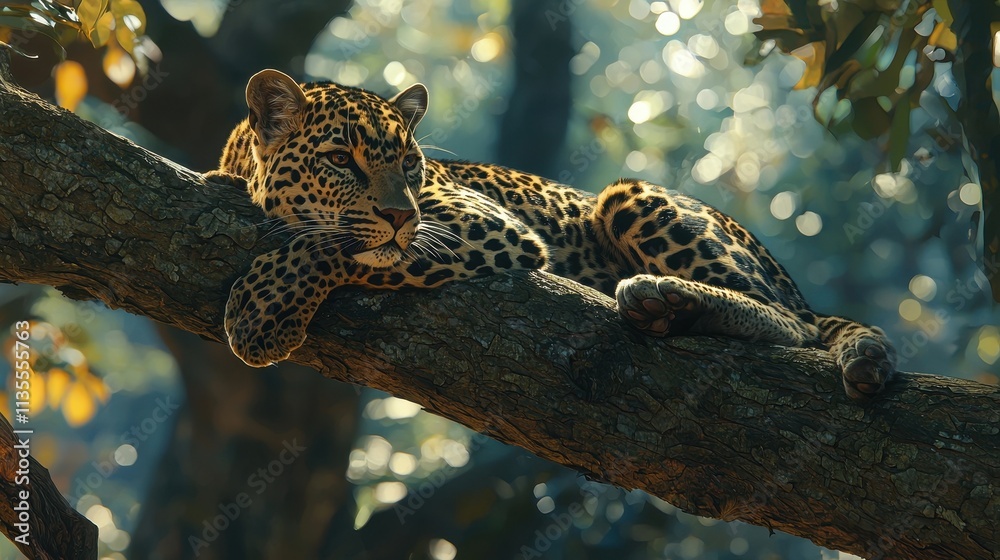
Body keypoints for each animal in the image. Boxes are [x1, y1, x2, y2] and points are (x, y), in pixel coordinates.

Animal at [207, 69, 897, 401]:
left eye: (409, 164)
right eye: (339, 160)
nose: (402, 214)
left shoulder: (485, 227)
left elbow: (333, 243)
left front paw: (263, 311)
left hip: (628, 196)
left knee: (797, 326)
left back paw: (665, 295)